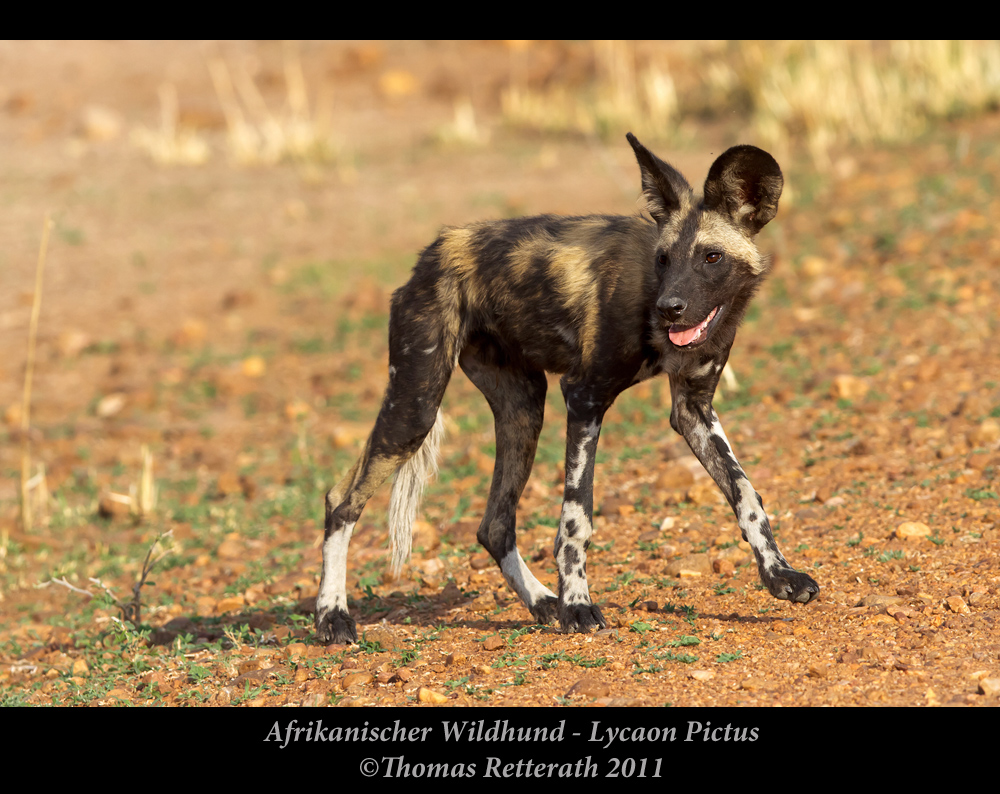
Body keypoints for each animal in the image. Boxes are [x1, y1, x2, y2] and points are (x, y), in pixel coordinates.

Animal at [318, 133, 820, 640]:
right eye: (663, 260)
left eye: (711, 258)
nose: (669, 307)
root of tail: (435, 250)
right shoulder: (584, 398)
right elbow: (576, 518)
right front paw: (578, 604)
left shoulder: (693, 409)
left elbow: (745, 492)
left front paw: (780, 574)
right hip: (415, 406)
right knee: (342, 501)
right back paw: (332, 615)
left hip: (523, 409)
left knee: (494, 525)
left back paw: (543, 601)